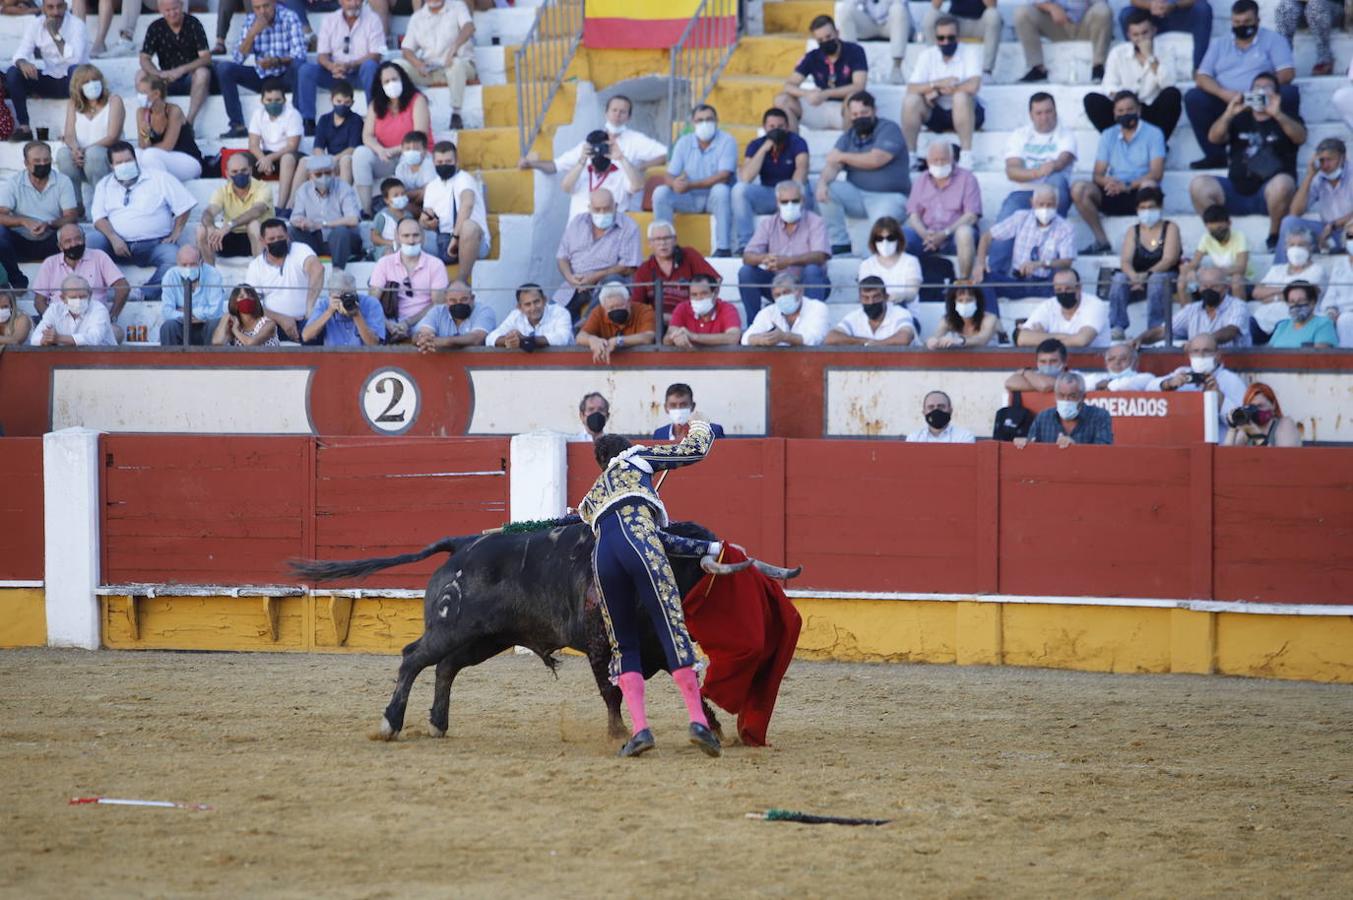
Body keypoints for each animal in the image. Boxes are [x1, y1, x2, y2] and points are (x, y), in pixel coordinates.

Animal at [293, 516, 730, 741]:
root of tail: (463, 544)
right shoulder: (601, 646)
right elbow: (612, 692)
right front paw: (619, 734)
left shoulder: (657, 643)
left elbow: (688, 679)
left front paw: (712, 726)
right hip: (453, 629)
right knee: (413, 658)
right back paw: (390, 723)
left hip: (483, 640)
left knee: (445, 667)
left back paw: (438, 724)